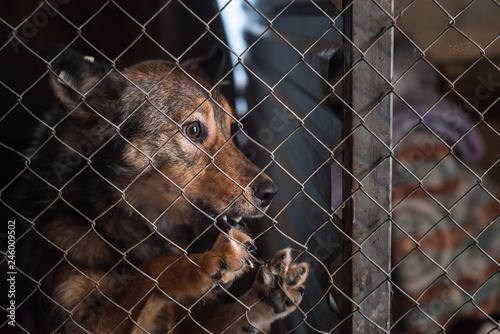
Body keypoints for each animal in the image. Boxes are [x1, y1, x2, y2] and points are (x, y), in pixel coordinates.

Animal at [18, 47, 308, 334]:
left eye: (231, 130)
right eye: (193, 129)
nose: (270, 193)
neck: (106, 221)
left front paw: (269, 293)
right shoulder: (77, 321)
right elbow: (155, 267)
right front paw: (203, 261)